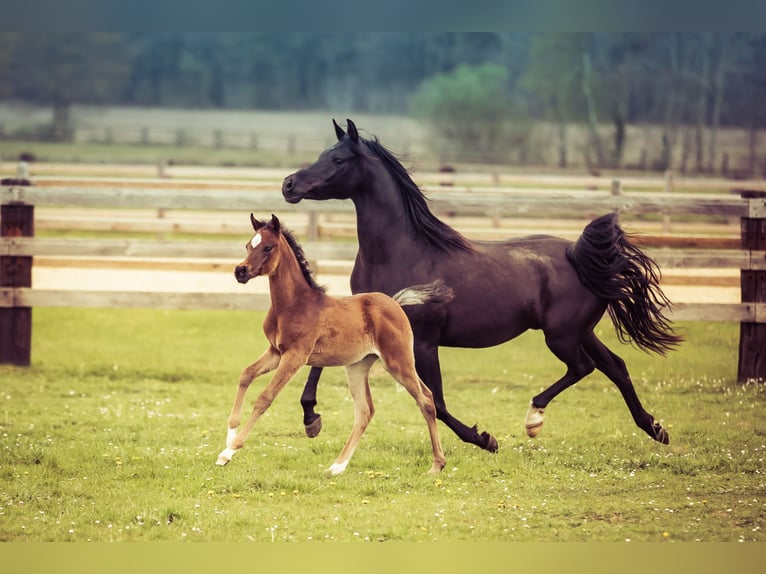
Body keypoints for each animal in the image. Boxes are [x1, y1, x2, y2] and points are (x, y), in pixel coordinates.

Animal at [216, 214, 448, 474]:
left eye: (268, 247)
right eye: (248, 245)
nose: (240, 271)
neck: (293, 304)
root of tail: (395, 303)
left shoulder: (295, 356)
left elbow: (265, 397)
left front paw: (228, 452)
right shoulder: (275, 352)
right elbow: (246, 374)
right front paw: (229, 436)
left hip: (398, 362)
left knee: (426, 399)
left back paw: (437, 464)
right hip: (357, 367)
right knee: (365, 410)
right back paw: (337, 466)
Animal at [284, 119, 684, 454]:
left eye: (337, 159)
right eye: (322, 155)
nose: (289, 184)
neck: (400, 252)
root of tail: (577, 254)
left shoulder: (424, 340)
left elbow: (437, 400)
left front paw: (485, 439)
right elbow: (319, 361)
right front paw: (311, 418)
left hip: (561, 336)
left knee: (583, 367)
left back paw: (534, 418)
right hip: (579, 332)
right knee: (615, 366)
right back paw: (655, 429)